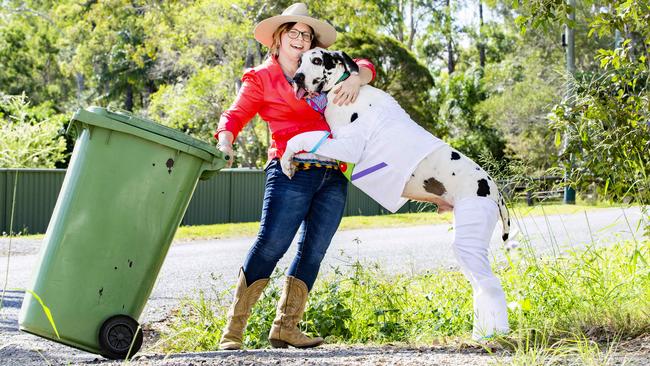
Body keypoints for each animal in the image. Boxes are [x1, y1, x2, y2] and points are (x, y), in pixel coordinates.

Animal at [280, 48, 512, 340]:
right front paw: (289, 160)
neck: (342, 91)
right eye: (299, 60)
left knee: (490, 284)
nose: (297, 78)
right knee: (481, 284)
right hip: (466, 241)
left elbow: (304, 137)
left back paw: (492, 334)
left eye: (318, 60)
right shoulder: (333, 149)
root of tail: (495, 191)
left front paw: (286, 159)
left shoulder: (346, 148)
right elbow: (309, 142)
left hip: (470, 240)